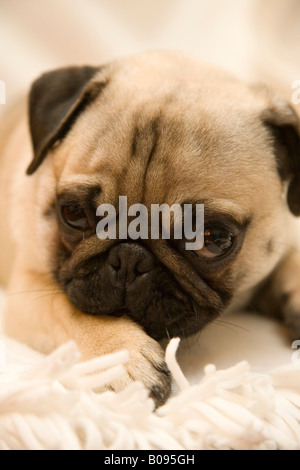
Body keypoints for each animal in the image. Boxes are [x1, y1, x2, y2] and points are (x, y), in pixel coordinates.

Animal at [0, 49, 300, 406]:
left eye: (213, 239)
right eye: (73, 213)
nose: (130, 257)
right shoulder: (26, 290)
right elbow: (66, 309)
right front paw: (120, 356)